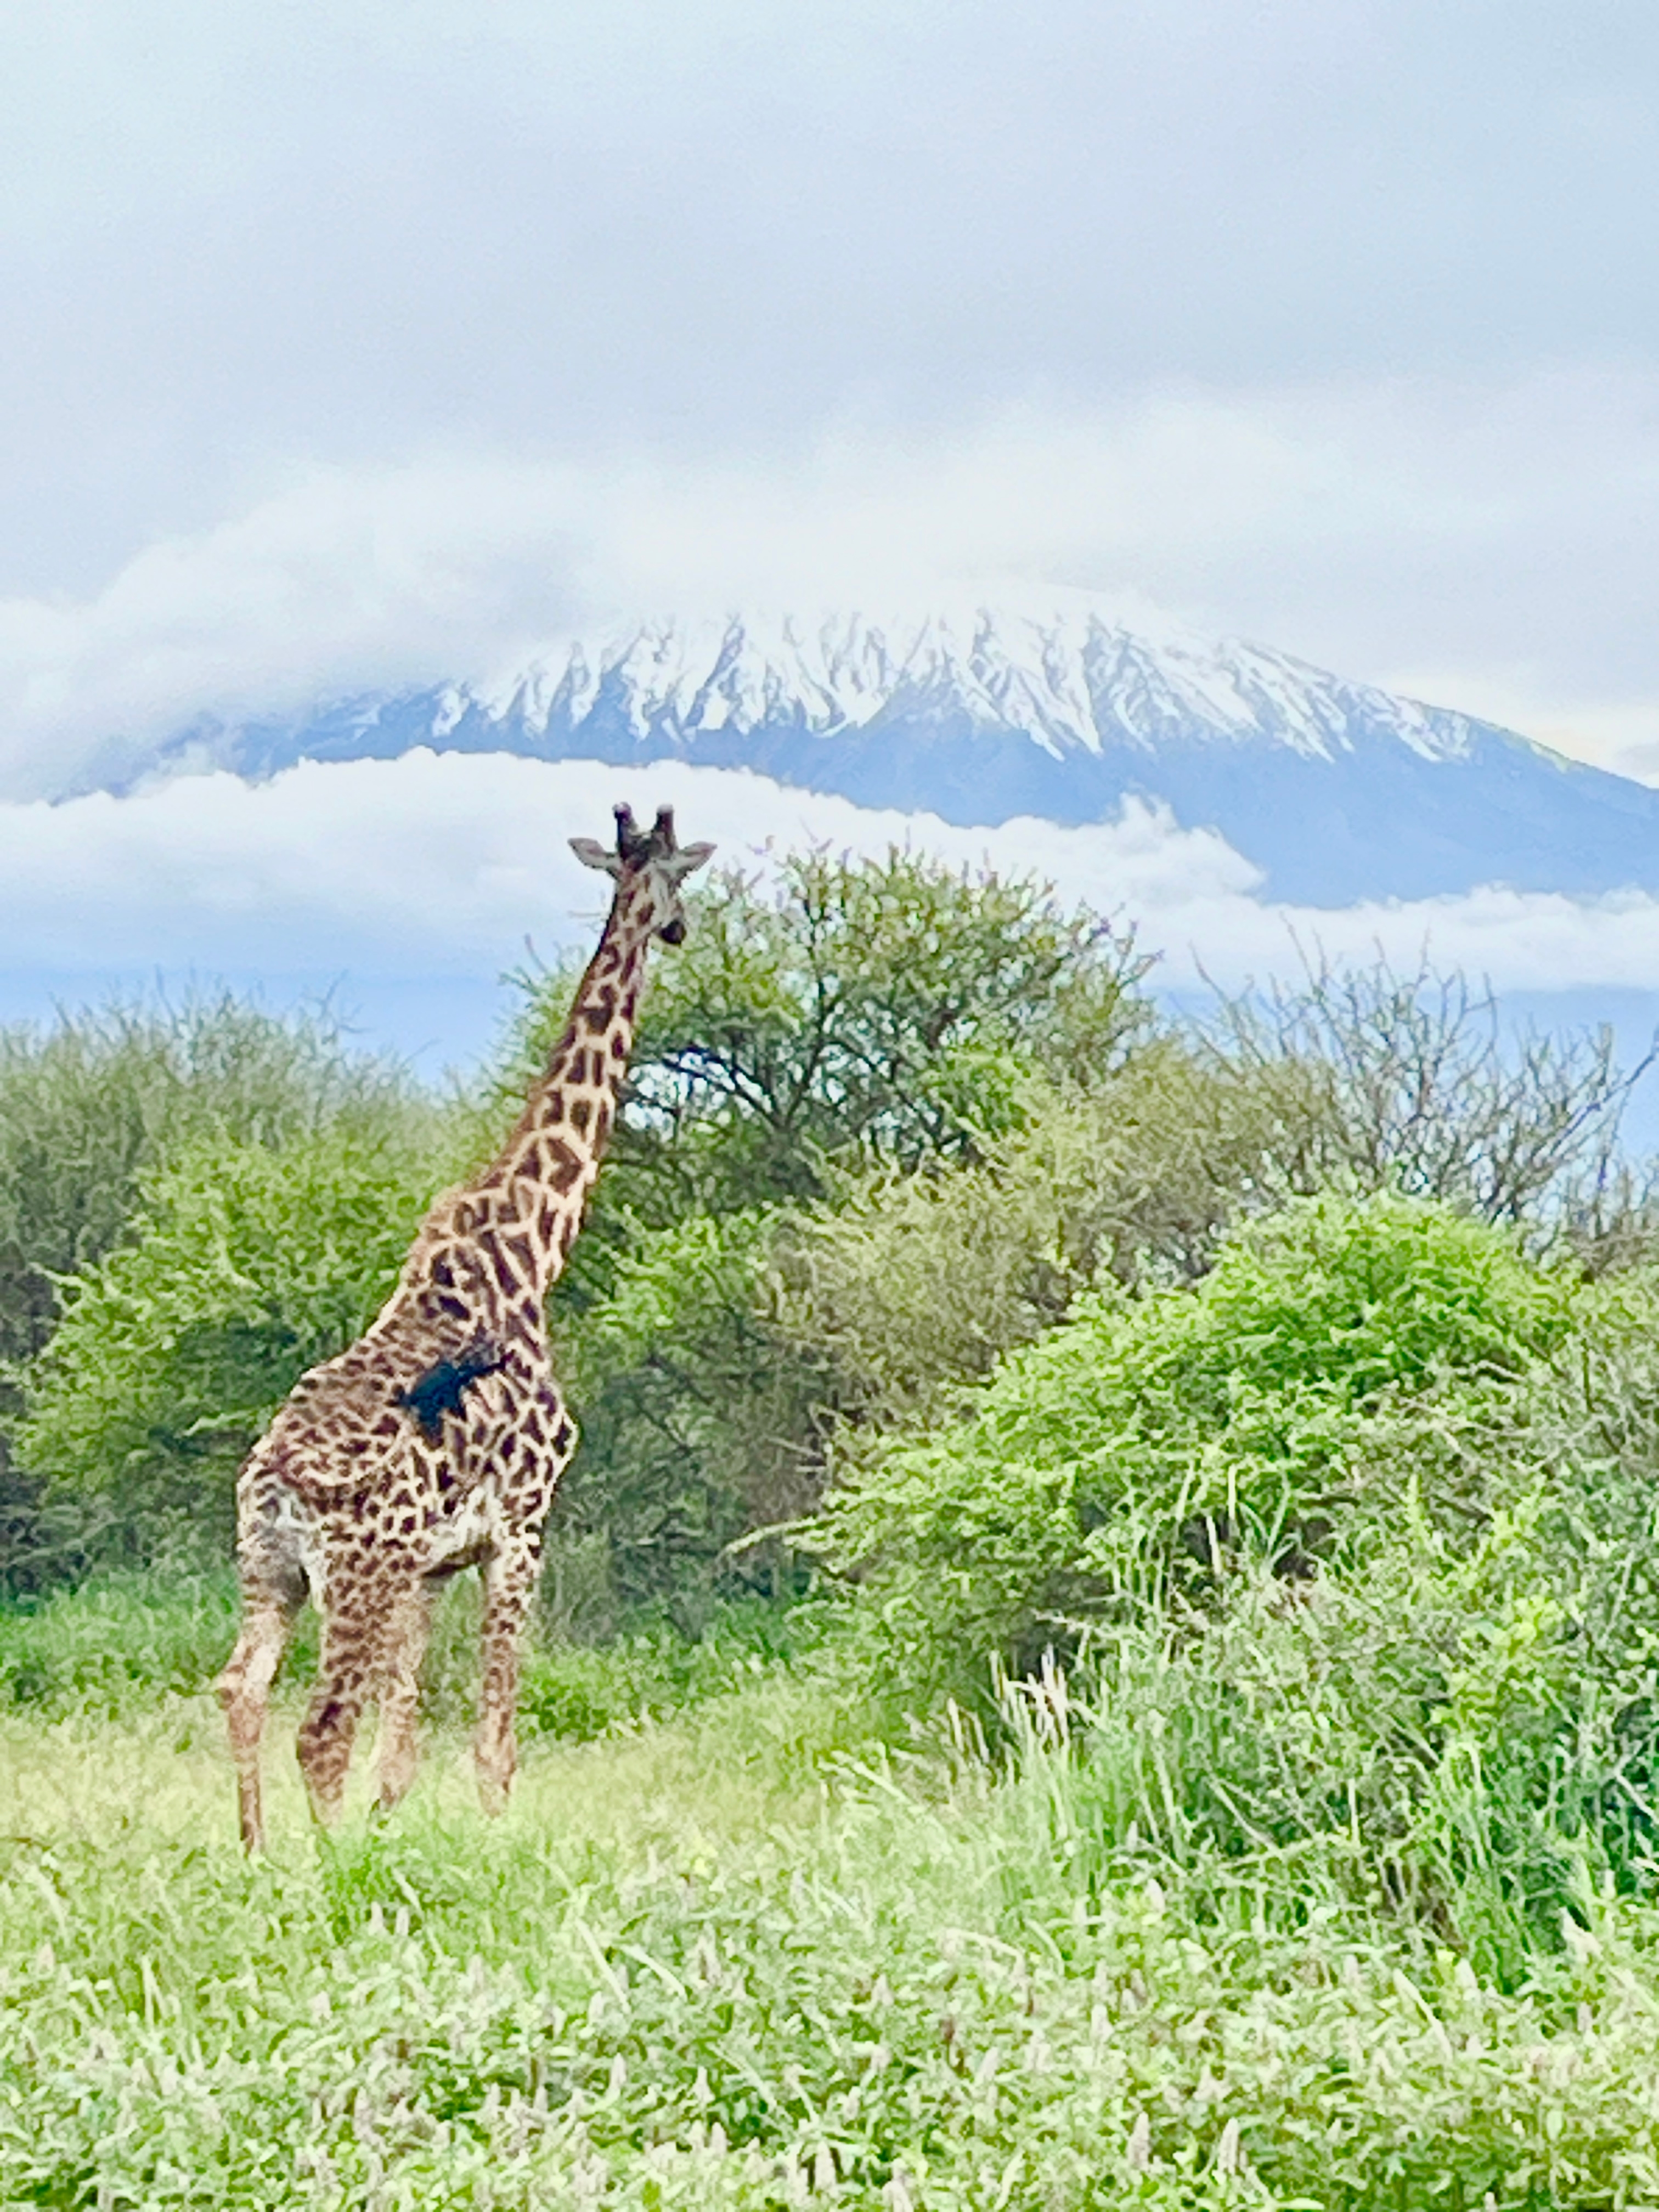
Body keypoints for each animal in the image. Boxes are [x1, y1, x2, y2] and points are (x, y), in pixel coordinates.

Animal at [216, 803, 713, 1851]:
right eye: (678, 880)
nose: (679, 931)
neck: (532, 1250)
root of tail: (273, 1480)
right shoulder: (523, 1524)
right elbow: (492, 1741)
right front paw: (487, 1846)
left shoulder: (435, 1565)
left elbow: (400, 1751)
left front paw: (395, 1839)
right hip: (353, 1575)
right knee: (320, 1728)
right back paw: (323, 1870)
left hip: (271, 1570)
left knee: (243, 1691)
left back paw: (257, 1856)